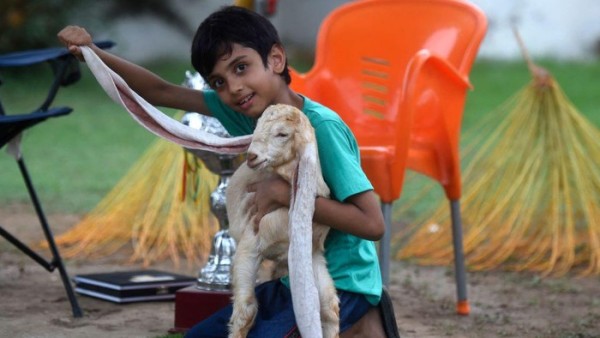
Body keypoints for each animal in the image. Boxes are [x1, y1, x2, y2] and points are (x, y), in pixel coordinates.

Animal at [226, 104, 338, 338]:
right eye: (256, 126)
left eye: (282, 134)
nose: (251, 156)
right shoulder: (250, 242)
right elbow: (245, 311)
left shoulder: (312, 253)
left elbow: (329, 308)